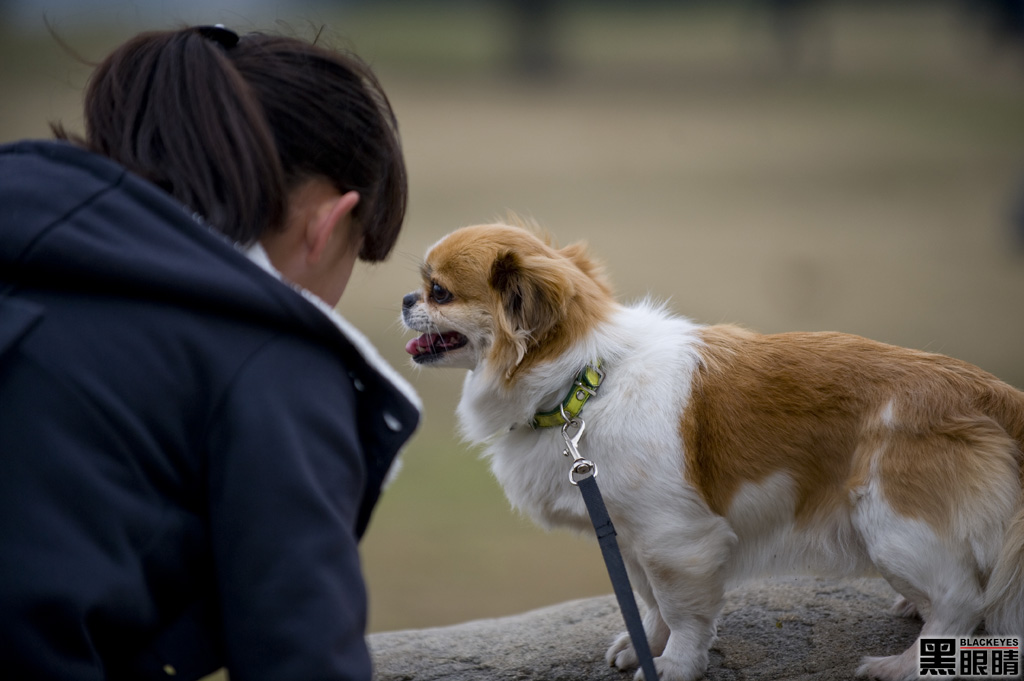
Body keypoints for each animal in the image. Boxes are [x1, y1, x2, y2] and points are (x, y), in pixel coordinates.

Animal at [399, 223, 1024, 679]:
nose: (405, 298)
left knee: (961, 601)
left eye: (439, 291)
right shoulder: (630, 535)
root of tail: (985, 390)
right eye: (422, 288)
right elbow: (647, 600)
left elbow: (680, 610)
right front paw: (643, 645)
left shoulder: (676, 540)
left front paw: (674, 664)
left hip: (891, 522)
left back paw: (903, 665)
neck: (585, 384)